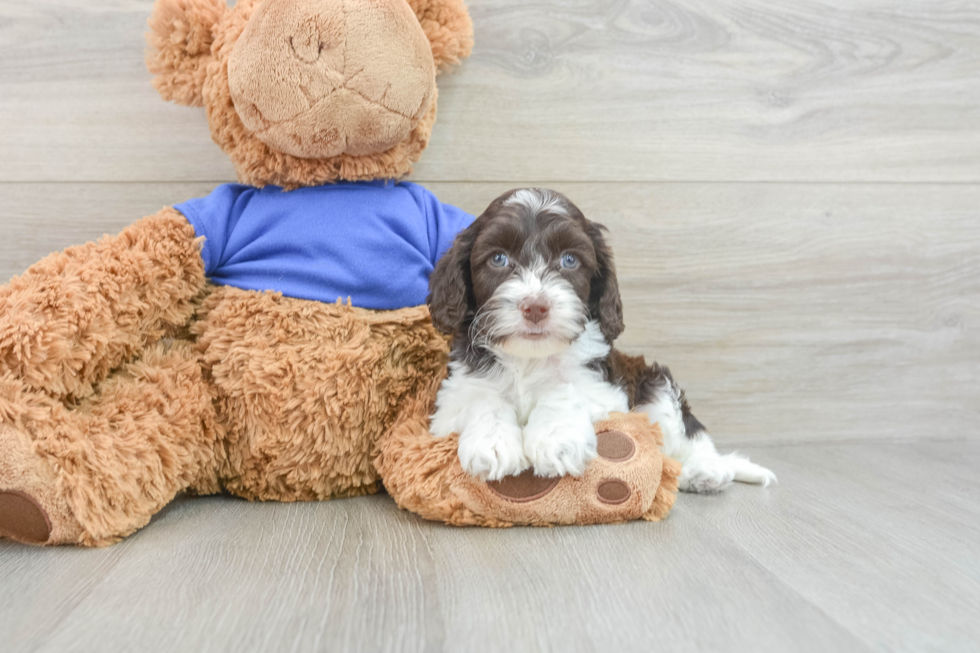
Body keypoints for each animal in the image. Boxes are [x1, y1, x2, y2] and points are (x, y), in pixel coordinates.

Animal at [424, 186, 776, 492]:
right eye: (498, 258)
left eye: (569, 260)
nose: (536, 307)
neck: (530, 357)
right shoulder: (450, 402)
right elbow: (483, 400)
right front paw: (492, 444)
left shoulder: (607, 394)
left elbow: (563, 390)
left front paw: (556, 439)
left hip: (656, 386)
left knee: (685, 440)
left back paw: (706, 470)